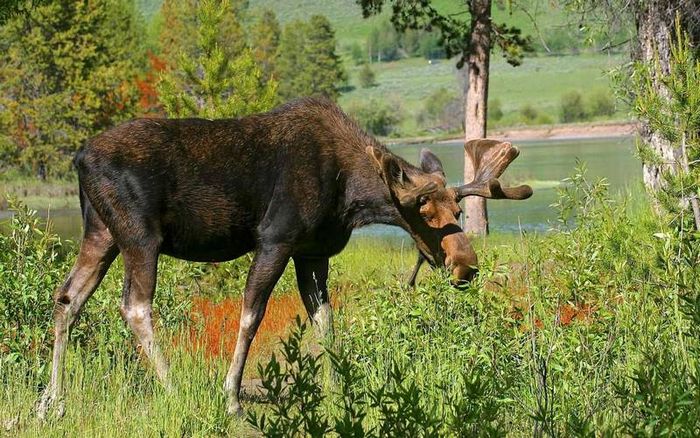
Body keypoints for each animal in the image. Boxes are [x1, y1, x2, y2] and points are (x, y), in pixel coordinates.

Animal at [35, 96, 532, 418]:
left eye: (458, 212)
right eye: (424, 213)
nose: (466, 266)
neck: (351, 197)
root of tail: (78, 158)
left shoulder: (313, 253)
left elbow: (325, 320)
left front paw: (338, 386)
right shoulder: (276, 238)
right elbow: (251, 315)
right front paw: (231, 397)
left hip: (101, 233)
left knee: (67, 299)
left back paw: (52, 400)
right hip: (140, 236)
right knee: (135, 306)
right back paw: (172, 387)